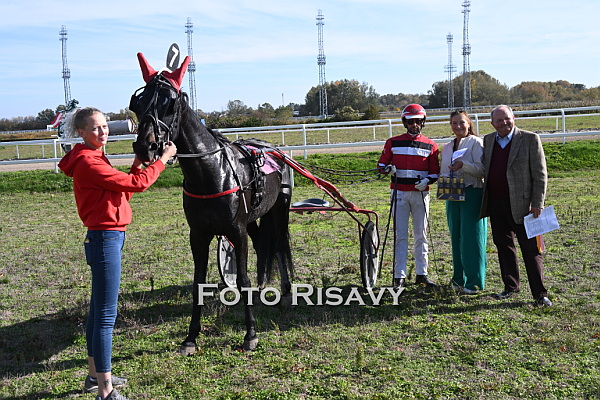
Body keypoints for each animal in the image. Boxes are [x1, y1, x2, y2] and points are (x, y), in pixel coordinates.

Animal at [129, 53, 294, 353]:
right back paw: (263, 287)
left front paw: (250, 334)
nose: (145, 147)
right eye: (138, 103)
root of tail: (273, 149)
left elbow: (242, 279)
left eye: (170, 103)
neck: (211, 173)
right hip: (253, 218)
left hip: (280, 209)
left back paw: (286, 291)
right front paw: (191, 336)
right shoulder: (198, 234)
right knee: (262, 244)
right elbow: (198, 282)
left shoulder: (236, 230)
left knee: (279, 245)